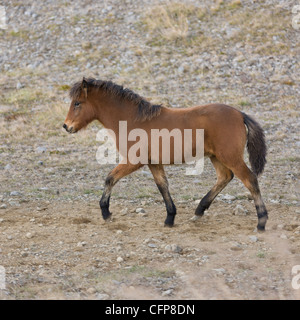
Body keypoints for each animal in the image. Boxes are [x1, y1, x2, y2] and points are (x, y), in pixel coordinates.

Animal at [63, 79, 270, 231]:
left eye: (77, 103)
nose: (66, 126)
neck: (132, 120)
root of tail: (239, 114)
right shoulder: (153, 163)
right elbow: (163, 186)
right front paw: (170, 218)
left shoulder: (133, 161)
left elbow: (110, 178)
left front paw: (106, 213)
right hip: (216, 157)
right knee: (224, 177)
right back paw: (198, 211)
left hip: (230, 157)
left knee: (250, 180)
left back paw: (261, 222)